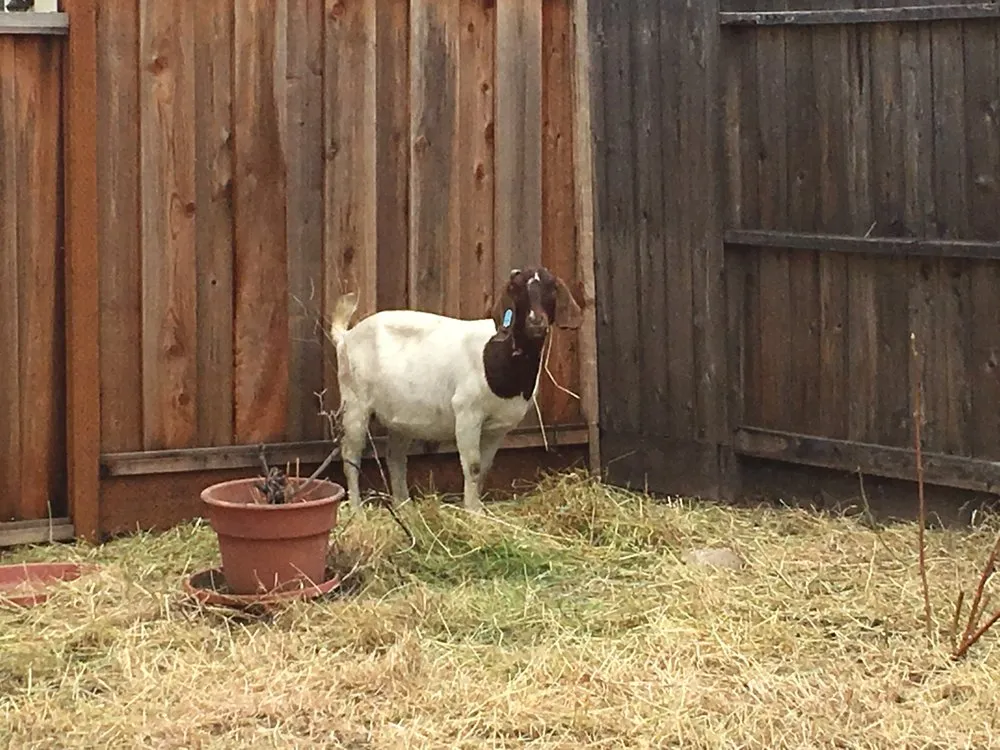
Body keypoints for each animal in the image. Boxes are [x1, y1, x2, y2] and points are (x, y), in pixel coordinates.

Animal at [328, 266, 583, 513]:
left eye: (552, 288)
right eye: (517, 289)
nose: (536, 321)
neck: (498, 356)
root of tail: (345, 337)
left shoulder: (498, 428)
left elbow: (485, 467)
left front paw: (478, 508)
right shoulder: (467, 412)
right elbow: (473, 466)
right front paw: (472, 512)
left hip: (401, 415)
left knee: (396, 457)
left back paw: (404, 507)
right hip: (354, 403)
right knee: (351, 456)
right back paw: (357, 511)